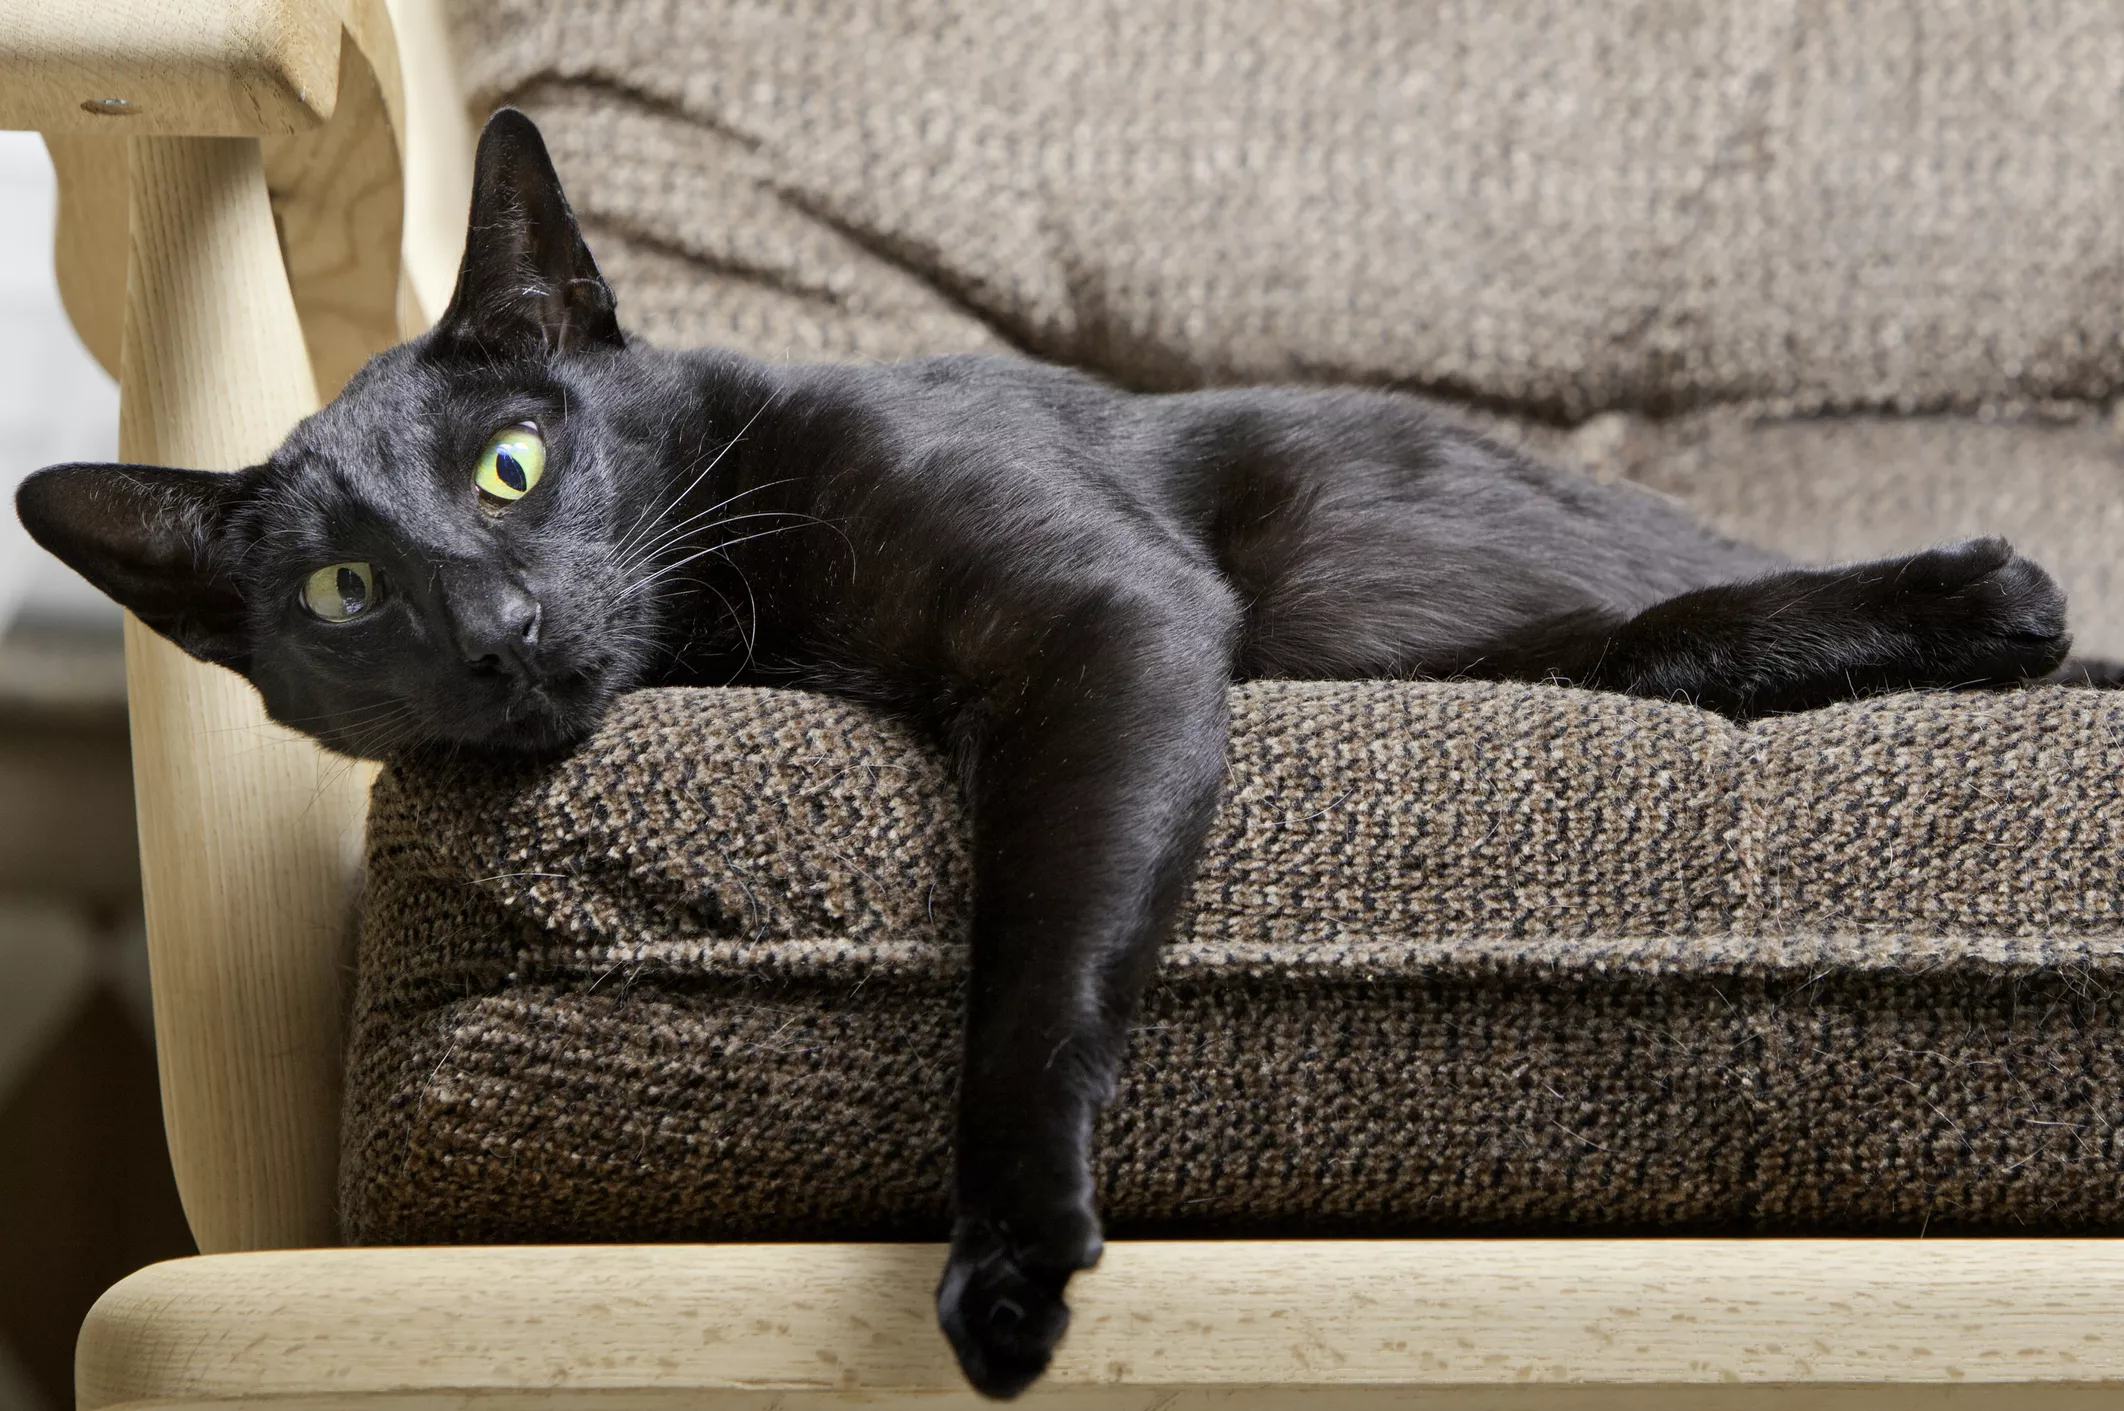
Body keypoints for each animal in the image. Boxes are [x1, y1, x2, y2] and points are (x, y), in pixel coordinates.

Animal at [20, 107, 2107, 1385]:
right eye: (346, 588)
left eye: (511, 468)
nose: (494, 630)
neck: (742, 611)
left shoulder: (1099, 623)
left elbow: (1033, 959)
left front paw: (1010, 1256)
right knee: (1678, 647)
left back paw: (1999, 601)